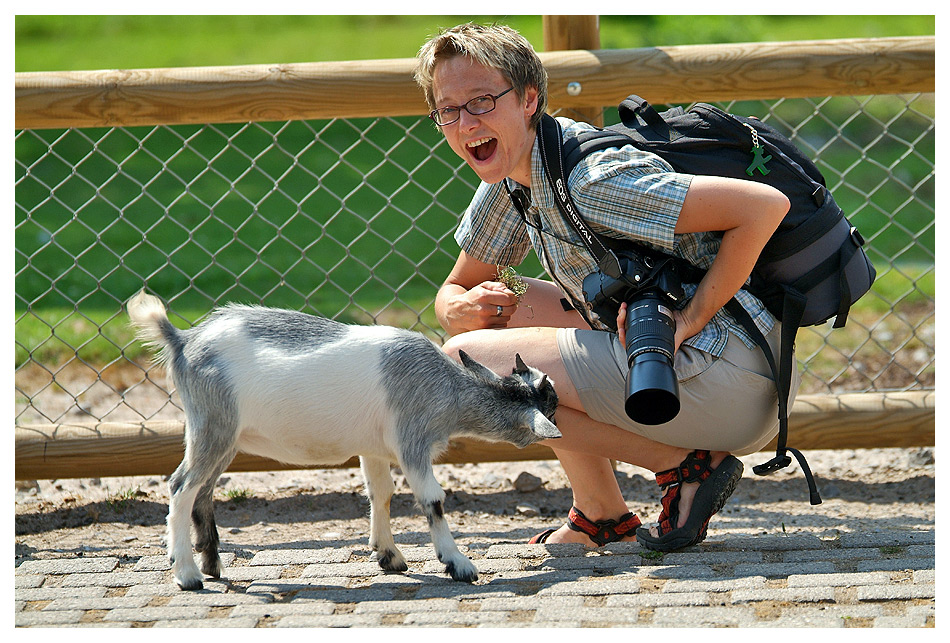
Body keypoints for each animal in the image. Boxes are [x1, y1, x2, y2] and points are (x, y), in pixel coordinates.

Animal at [126, 290, 556, 588]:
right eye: (550, 405)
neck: (444, 386)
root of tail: (183, 340)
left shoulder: (375, 448)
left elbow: (381, 493)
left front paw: (389, 557)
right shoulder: (412, 442)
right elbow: (432, 500)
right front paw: (458, 564)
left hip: (222, 436)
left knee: (202, 491)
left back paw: (212, 564)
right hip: (213, 424)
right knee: (181, 485)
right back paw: (186, 574)